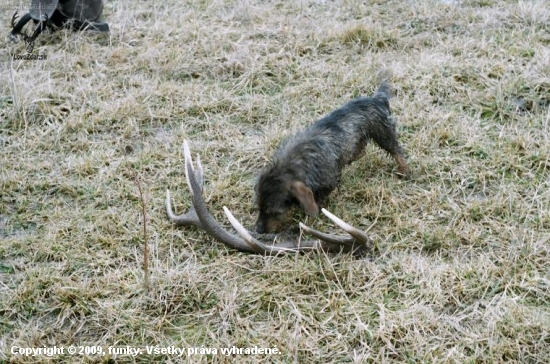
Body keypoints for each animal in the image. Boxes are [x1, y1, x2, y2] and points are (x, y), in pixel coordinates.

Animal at [254, 80, 410, 233]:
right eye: (259, 206)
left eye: (274, 211)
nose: (258, 230)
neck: (296, 160)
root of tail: (377, 98)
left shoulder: (328, 182)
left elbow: (320, 198)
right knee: (360, 149)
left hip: (383, 133)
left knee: (397, 151)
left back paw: (404, 171)